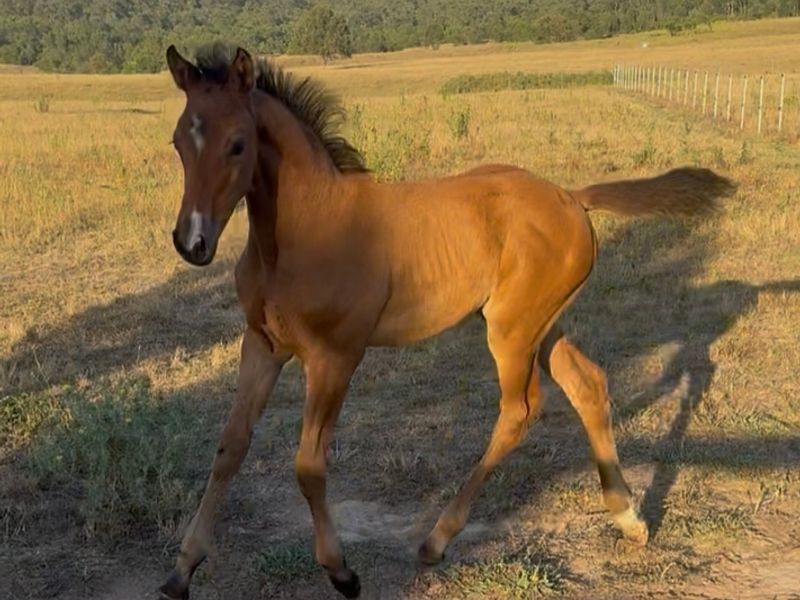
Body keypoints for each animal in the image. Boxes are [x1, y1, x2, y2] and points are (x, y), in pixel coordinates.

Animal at [158, 44, 735, 599]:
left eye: (238, 144)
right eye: (179, 143)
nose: (193, 243)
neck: (307, 231)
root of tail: (573, 197)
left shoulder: (335, 355)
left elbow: (309, 464)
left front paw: (342, 572)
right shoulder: (262, 344)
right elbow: (230, 447)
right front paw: (182, 569)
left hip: (511, 331)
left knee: (520, 409)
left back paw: (437, 539)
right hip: (540, 323)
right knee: (587, 384)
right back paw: (629, 518)